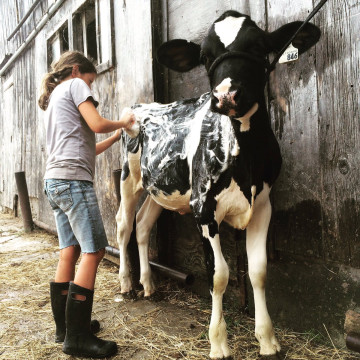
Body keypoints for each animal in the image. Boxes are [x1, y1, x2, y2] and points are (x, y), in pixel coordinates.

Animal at [116, 9, 320, 358]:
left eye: (258, 47)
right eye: (205, 56)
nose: (225, 96)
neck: (246, 154)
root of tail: (144, 105)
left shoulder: (263, 204)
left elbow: (258, 270)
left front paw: (267, 340)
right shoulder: (203, 208)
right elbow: (219, 274)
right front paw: (219, 342)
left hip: (160, 191)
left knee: (142, 227)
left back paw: (149, 285)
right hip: (129, 178)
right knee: (123, 225)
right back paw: (127, 284)